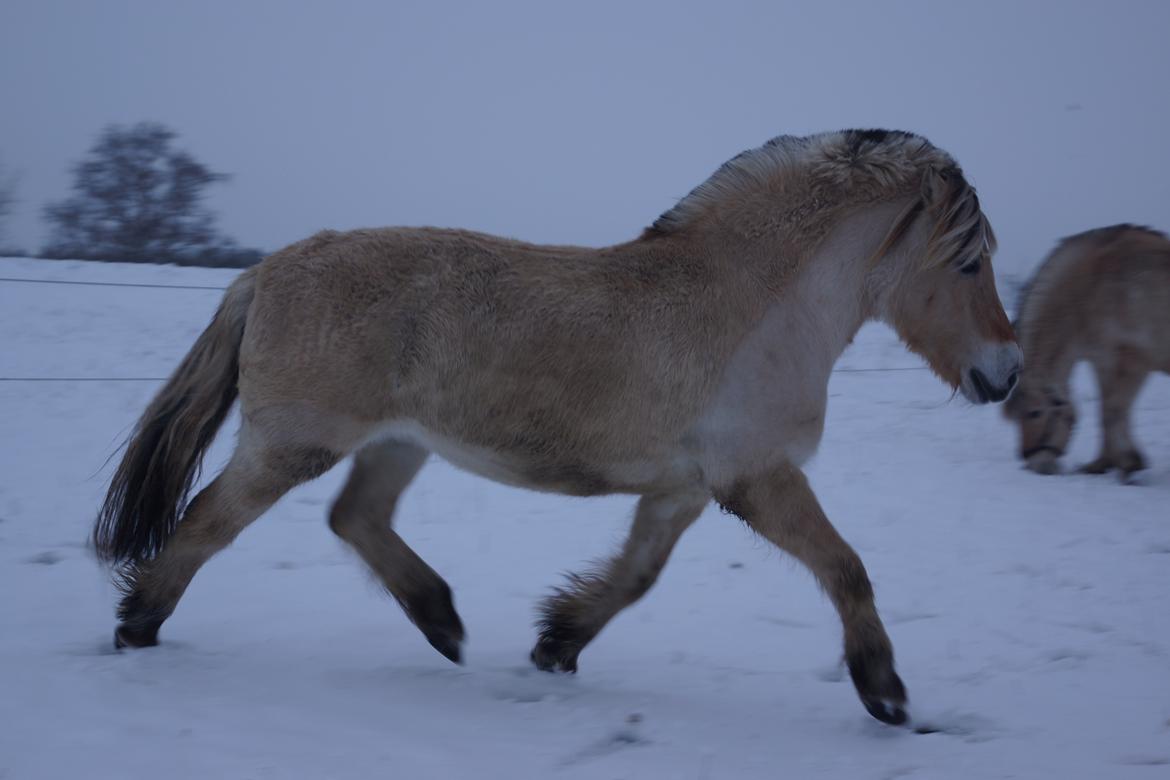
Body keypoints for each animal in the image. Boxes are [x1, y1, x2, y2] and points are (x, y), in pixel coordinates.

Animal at [95, 129, 1020, 725]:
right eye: (968, 259)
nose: (1005, 374)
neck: (753, 305)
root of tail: (264, 271)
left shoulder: (684, 490)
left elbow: (637, 577)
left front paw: (556, 645)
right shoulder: (757, 478)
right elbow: (846, 568)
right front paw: (886, 692)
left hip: (397, 443)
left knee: (354, 519)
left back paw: (443, 623)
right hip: (295, 443)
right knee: (209, 520)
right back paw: (137, 627)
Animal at [1001, 224, 1170, 477]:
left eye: (1034, 412)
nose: (1035, 465)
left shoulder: (1127, 359)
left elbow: (1112, 408)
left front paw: (1126, 462)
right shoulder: (1109, 359)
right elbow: (1109, 407)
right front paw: (1105, 462)